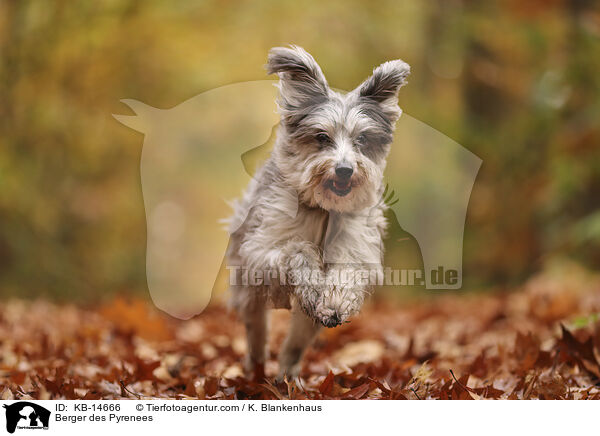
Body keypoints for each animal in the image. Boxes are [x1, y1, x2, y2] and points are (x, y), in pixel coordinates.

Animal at [227, 46, 410, 378]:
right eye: (322, 137)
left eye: (362, 139)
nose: (344, 169)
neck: (324, 210)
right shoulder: (259, 253)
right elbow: (296, 249)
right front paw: (311, 280)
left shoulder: (356, 246)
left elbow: (347, 271)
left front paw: (335, 301)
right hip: (248, 292)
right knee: (256, 331)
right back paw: (256, 369)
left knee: (295, 343)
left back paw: (286, 377)